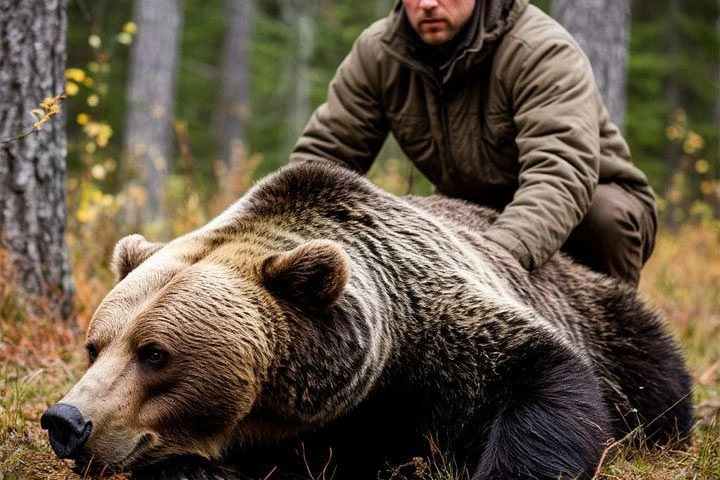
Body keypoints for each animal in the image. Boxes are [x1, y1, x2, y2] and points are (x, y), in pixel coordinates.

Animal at [42, 161, 693, 480]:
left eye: (154, 352)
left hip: (615, 323)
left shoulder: (438, 338)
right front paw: (190, 469)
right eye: (94, 346)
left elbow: (542, 377)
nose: (66, 421)